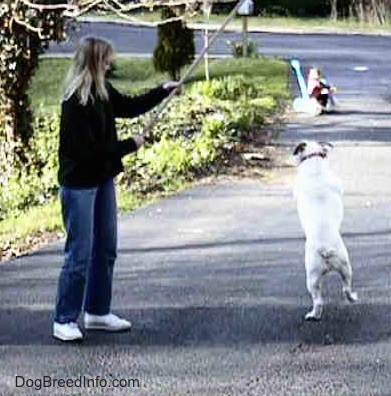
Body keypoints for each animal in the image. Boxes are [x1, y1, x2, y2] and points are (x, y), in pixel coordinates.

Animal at [294, 141, 358, 320]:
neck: (314, 159)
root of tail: (326, 250)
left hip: (318, 274)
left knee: (323, 299)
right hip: (341, 269)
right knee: (343, 290)